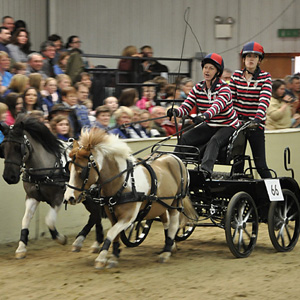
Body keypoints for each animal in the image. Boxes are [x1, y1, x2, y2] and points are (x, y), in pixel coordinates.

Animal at [0, 115, 103, 258]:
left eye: (18, 147)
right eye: (3, 147)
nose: (9, 177)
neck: (45, 169)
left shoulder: (58, 198)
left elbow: (49, 220)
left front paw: (61, 239)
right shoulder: (31, 197)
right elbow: (25, 219)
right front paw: (21, 248)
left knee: (96, 214)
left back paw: (89, 242)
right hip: (87, 197)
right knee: (95, 214)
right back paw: (87, 242)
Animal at [63, 127, 197, 270]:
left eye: (81, 171)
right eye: (68, 168)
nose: (69, 197)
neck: (123, 183)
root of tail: (175, 158)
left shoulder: (128, 217)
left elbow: (111, 233)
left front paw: (101, 258)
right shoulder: (112, 215)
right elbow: (115, 235)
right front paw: (114, 256)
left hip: (176, 202)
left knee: (173, 224)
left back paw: (165, 253)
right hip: (160, 204)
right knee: (166, 222)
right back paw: (170, 246)